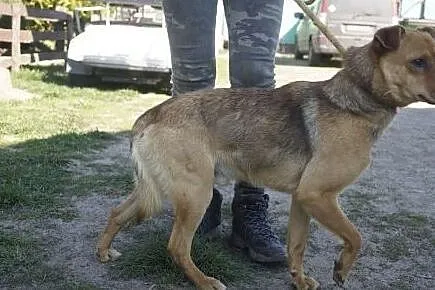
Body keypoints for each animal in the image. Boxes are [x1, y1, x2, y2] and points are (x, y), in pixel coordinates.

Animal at [98, 26, 435, 288]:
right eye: (418, 62)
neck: (355, 99)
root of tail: (151, 115)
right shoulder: (319, 196)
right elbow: (355, 237)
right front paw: (341, 268)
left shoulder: (305, 199)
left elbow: (297, 247)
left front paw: (299, 281)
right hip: (196, 194)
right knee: (178, 247)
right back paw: (204, 281)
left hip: (154, 191)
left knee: (117, 213)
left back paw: (103, 252)